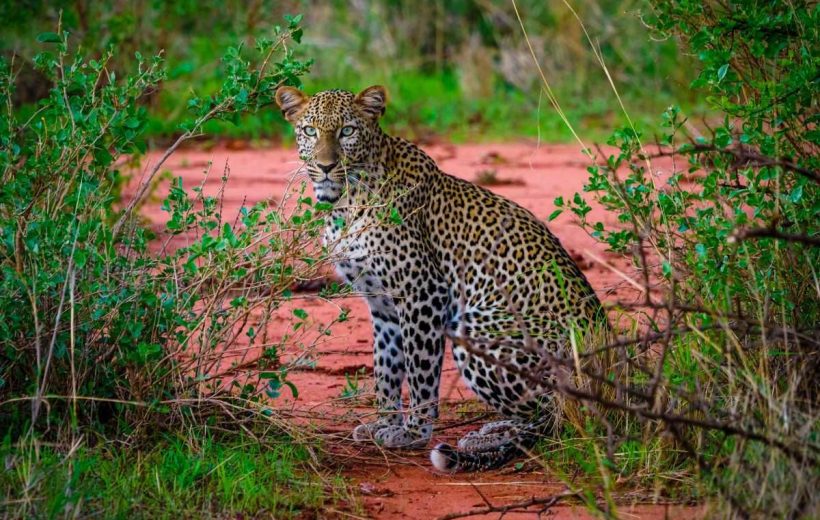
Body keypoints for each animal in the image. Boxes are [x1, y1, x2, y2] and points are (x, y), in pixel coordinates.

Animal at [274, 84, 604, 472]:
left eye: (347, 131)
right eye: (310, 131)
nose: (326, 166)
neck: (346, 202)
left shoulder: (422, 292)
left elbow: (420, 369)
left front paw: (413, 431)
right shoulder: (382, 304)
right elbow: (385, 368)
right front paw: (383, 424)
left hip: (478, 328)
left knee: (555, 416)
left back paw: (488, 437)